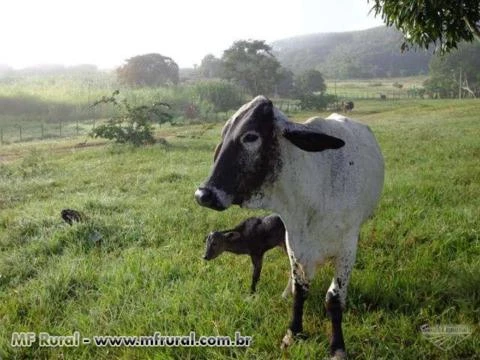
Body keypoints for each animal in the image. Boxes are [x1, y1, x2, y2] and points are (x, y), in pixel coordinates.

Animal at [193, 94, 384, 358]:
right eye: (224, 133)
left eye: (250, 136)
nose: (203, 194)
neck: (310, 197)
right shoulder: (294, 242)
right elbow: (299, 289)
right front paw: (293, 333)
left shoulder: (347, 247)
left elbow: (334, 299)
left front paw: (337, 347)